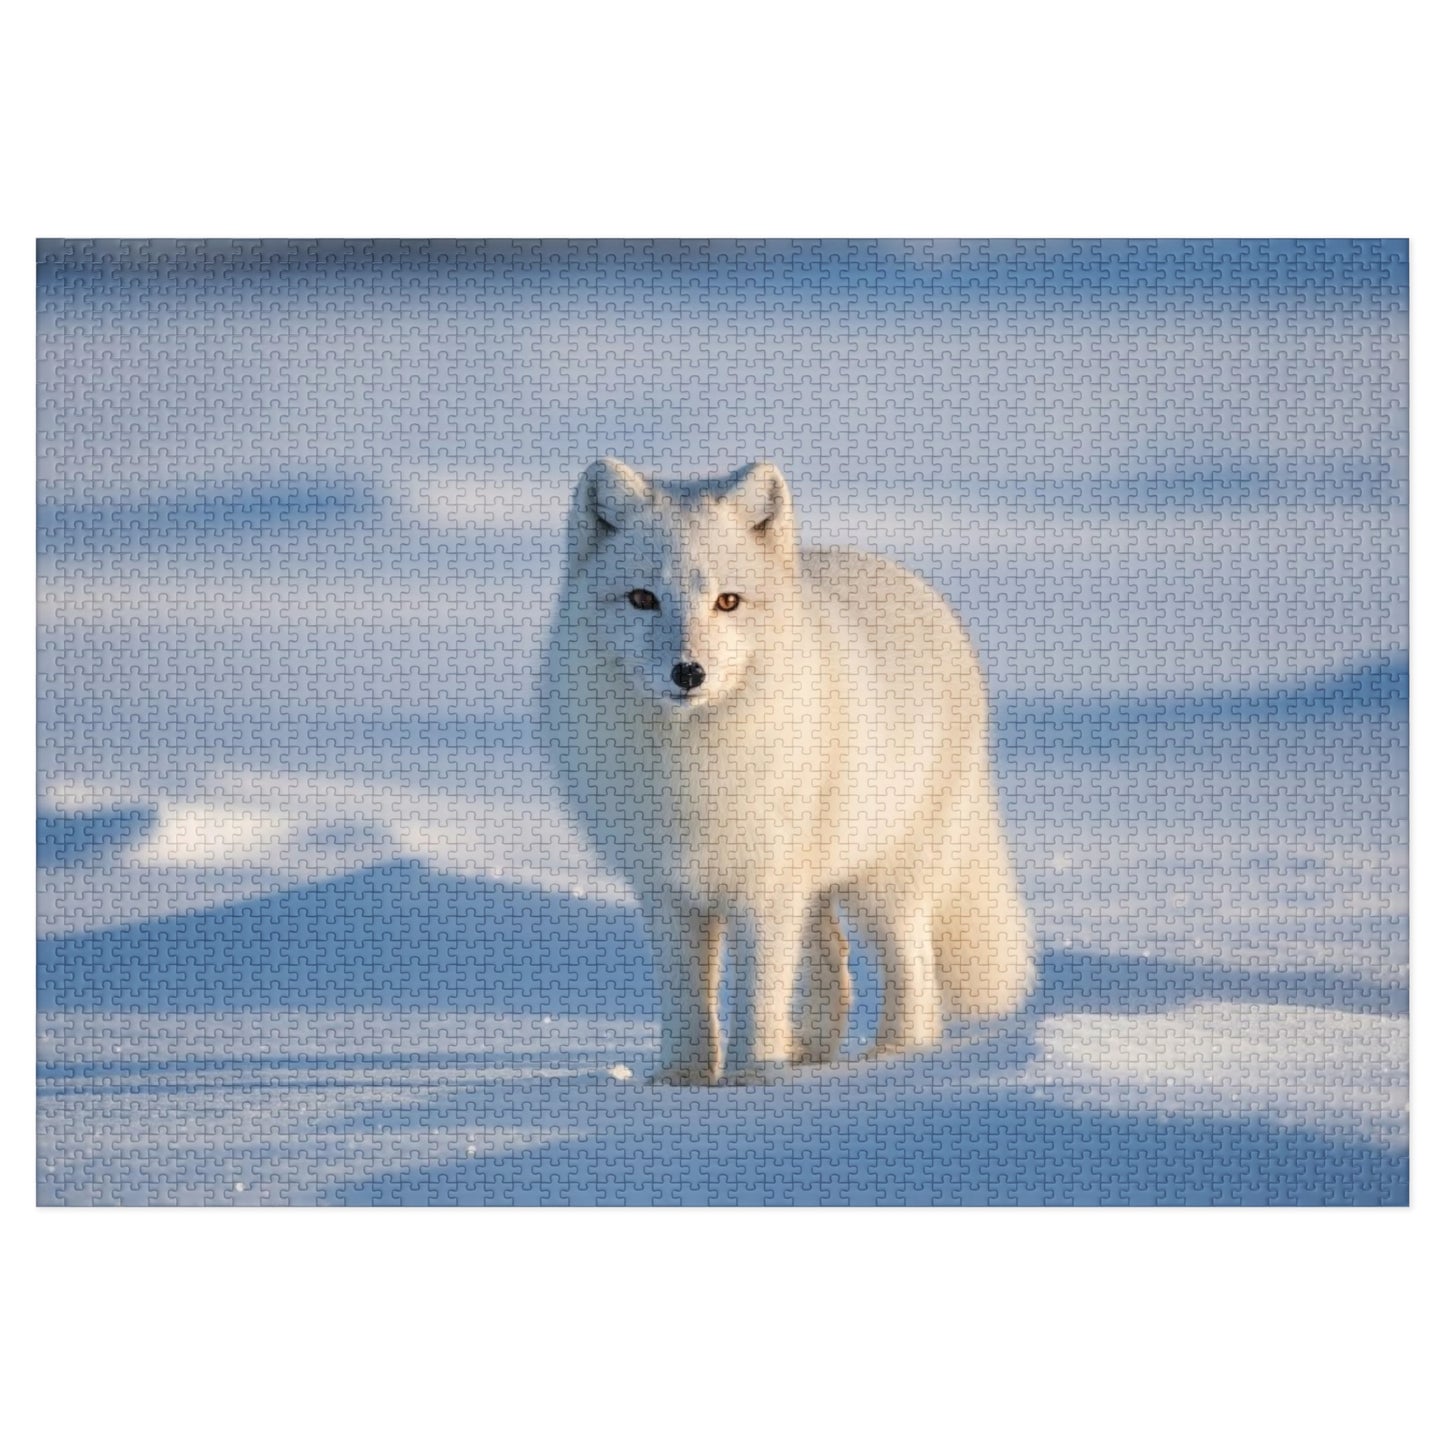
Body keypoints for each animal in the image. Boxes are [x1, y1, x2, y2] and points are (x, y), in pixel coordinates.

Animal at [539, 457, 1034, 1084]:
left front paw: (752, 1080)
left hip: (884, 882)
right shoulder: (669, 892)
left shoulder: (764, 891)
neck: (692, 762)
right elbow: (688, 998)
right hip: (816, 882)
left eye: (728, 601)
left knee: (915, 975)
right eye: (642, 598)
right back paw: (810, 1056)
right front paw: (682, 1082)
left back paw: (892, 1060)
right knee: (832, 959)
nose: (688, 672)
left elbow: (758, 995)